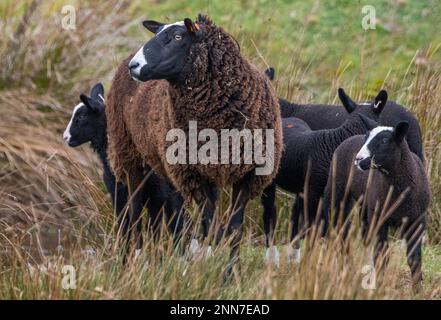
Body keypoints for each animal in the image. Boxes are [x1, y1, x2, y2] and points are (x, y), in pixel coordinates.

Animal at [106, 13, 282, 272]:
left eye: (179, 37)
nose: (135, 66)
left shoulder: (247, 175)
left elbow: (234, 228)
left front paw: (231, 272)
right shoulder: (194, 175)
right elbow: (212, 225)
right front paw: (211, 264)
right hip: (128, 154)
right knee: (134, 208)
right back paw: (135, 258)